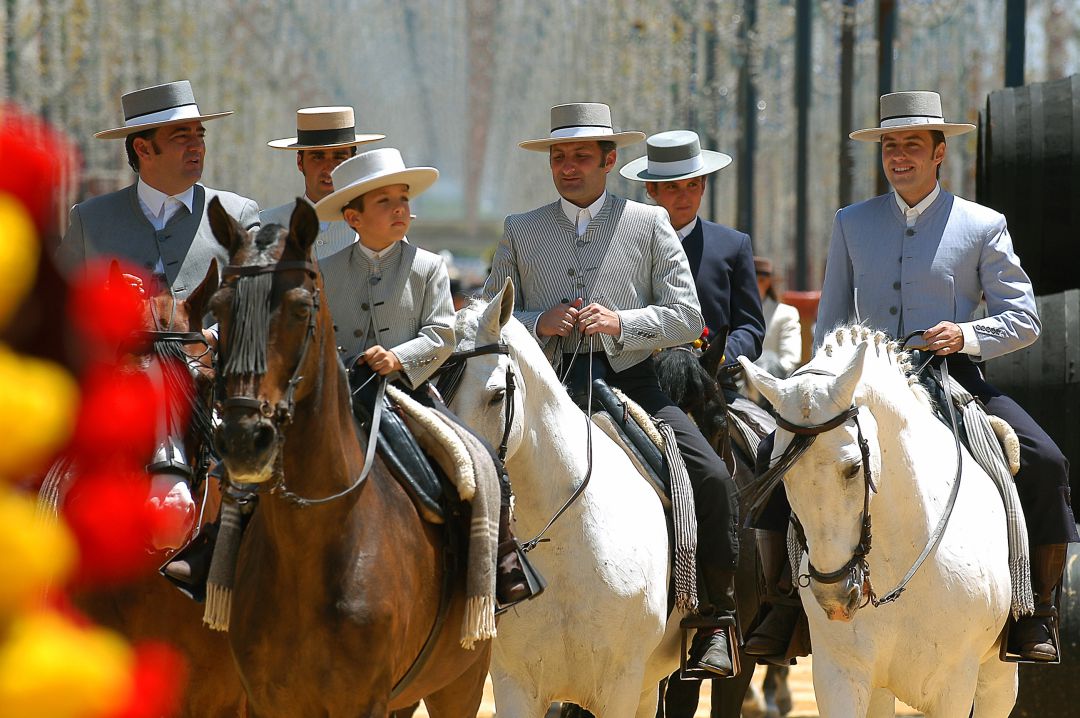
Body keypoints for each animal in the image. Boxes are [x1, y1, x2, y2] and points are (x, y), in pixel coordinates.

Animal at [210, 197, 490, 716]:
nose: (243, 438)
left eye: (301, 307)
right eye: (219, 307)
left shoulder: (365, 702)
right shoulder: (263, 701)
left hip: (461, 679)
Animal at [738, 326, 1015, 716]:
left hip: (996, 677)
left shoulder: (955, 684)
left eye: (854, 467)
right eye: (780, 473)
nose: (834, 596)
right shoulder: (840, 673)